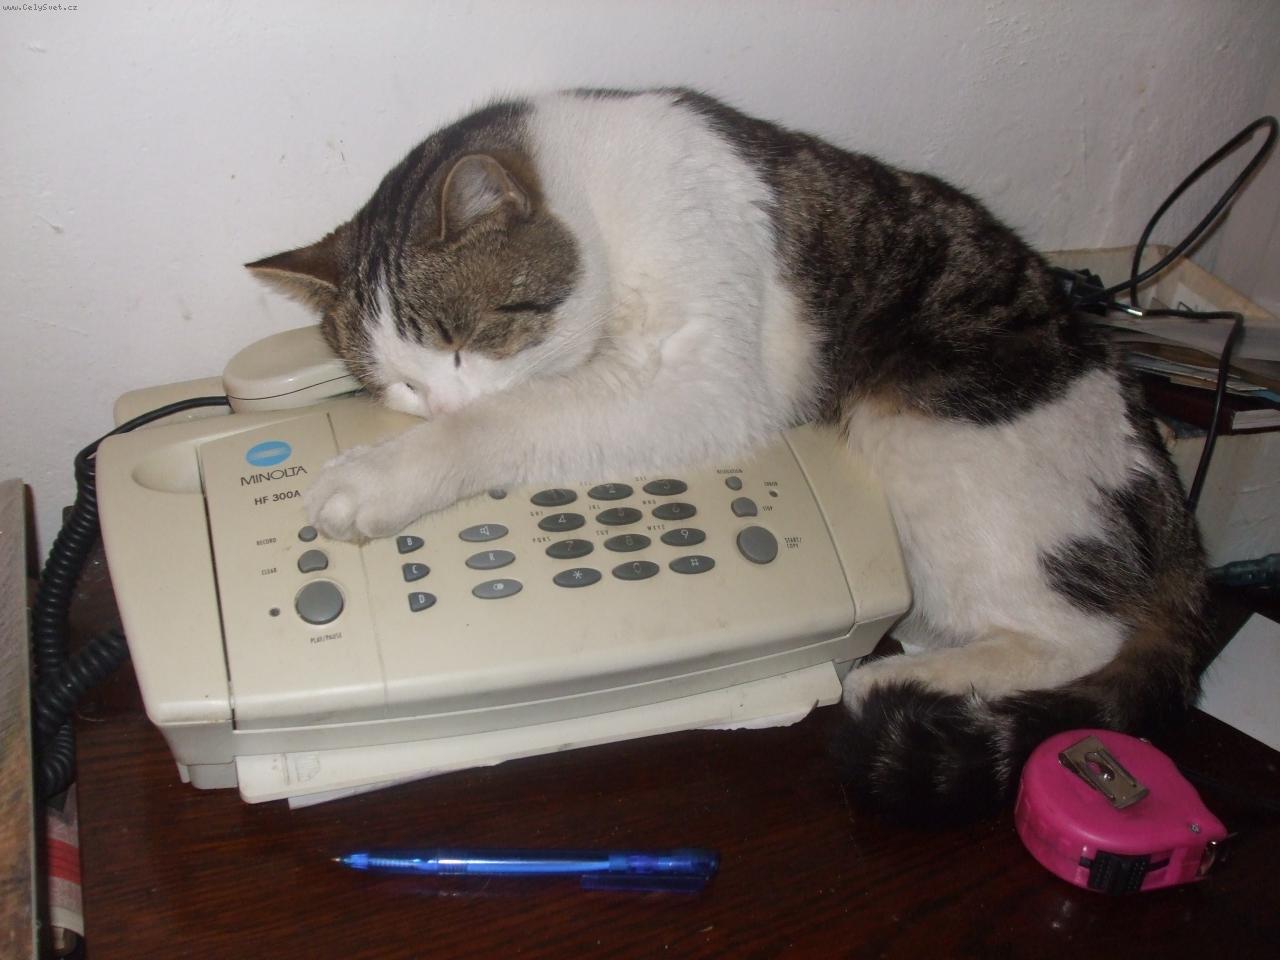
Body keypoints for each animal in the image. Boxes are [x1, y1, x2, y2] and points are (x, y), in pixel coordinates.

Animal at [247, 89, 1215, 824]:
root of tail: (1181, 533)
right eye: (397, 385)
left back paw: (895, 674)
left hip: (925, 429)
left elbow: (514, 416)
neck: (602, 206)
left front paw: (381, 475)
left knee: (1082, 636)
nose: (436, 402)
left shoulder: (711, 384)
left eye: (462, 339)